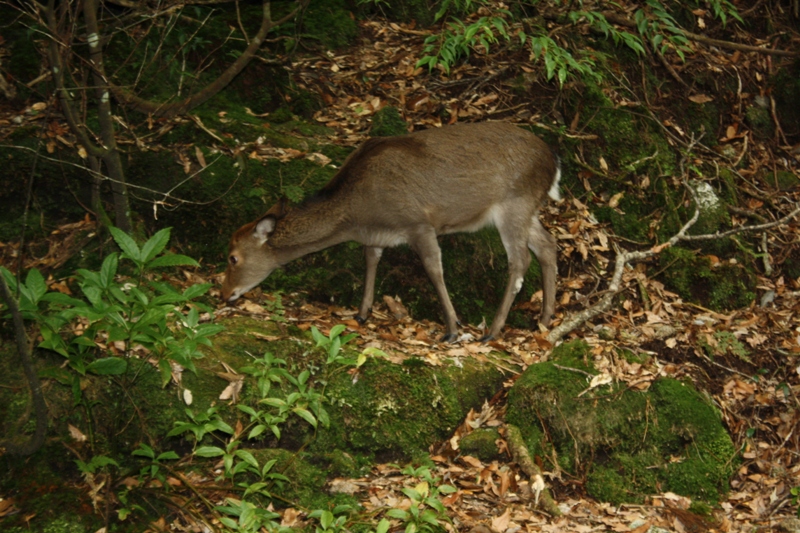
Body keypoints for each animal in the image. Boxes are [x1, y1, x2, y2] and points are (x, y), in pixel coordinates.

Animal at [223, 120, 564, 340]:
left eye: (233, 257)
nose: (223, 293)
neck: (358, 215)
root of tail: (554, 161)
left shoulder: (417, 222)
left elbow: (433, 269)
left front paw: (453, 329)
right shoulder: (376, 237)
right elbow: (370, 262)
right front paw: (362, 313)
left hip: (514, 203)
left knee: (520, 261)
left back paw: (492, 331)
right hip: (528, 209)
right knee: (548, 245)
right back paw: (546, 319)